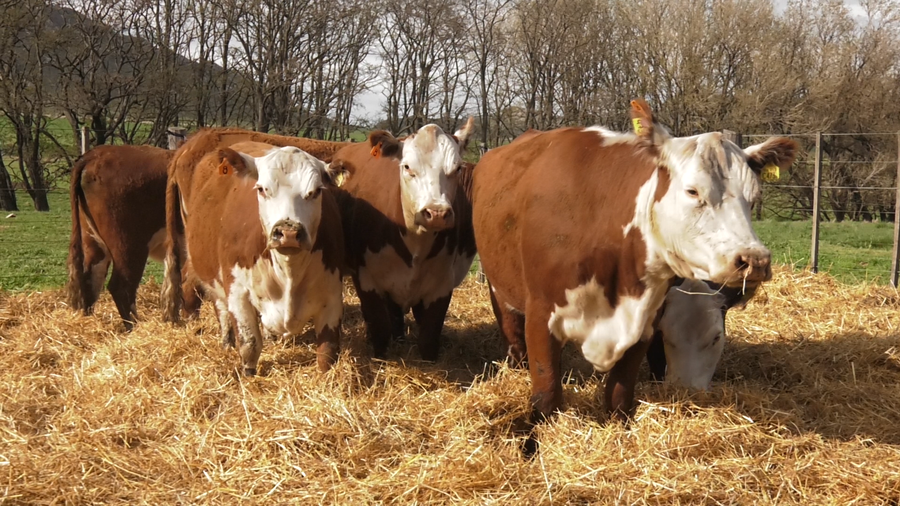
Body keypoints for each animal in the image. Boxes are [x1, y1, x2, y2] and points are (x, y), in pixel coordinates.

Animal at [66, 144, 200, 329]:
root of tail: (95, 154)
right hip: (129, 244)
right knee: (121, 287)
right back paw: (136, 327)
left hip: (93, 241)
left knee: (90, 280)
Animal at [179, 142, 345, 374]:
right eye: (261, 189)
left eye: (316, 191)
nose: (288, 232)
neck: (289, 271)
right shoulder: (237, 292)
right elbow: (249, 344)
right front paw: (249, 374)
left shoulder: (332, 296)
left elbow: (327, 352)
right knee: (221, 308)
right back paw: (226, 341)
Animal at [330, 119, 476, 361]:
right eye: (407, 167)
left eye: (457, 168)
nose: (436, 212)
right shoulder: (368, 281)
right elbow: (380, 329)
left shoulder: (441, 286)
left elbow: (428, 339)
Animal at [472, 99, 797, 422]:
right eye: (693, 191)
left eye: (753, 198)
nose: (755, 260)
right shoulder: (541, 317)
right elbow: (547, 396)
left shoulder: (643, 322)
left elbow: (619, 397)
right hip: (500, 291)